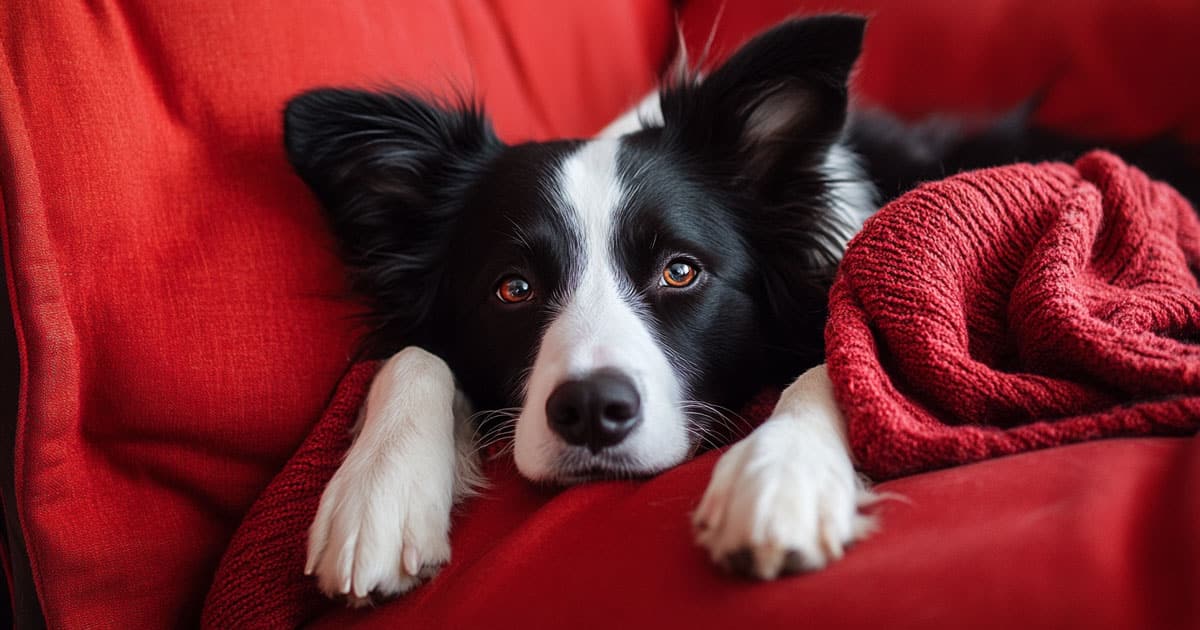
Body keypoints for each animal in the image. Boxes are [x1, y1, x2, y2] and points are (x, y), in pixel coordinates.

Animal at [283, 14, 1200, 604]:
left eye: (681, 270)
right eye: (514, 289)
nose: (590, 412)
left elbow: (844, 355)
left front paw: (778, 476)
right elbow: (414, 352)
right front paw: (376, 493)